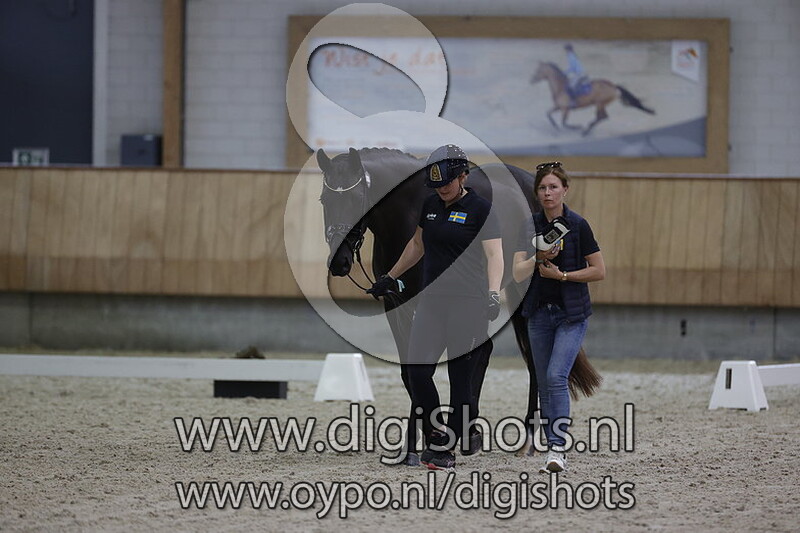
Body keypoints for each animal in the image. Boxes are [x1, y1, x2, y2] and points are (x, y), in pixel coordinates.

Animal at [316, 147, 601, 457]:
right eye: (324, 199)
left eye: (356, 198)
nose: (339, 262)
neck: (409, 218)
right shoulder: (395, 305)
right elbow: (410, 370)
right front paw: (420, 440)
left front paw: (433, 436)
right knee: (484, 350)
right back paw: (472, 431)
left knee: (530, 356)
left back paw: (525, 435)